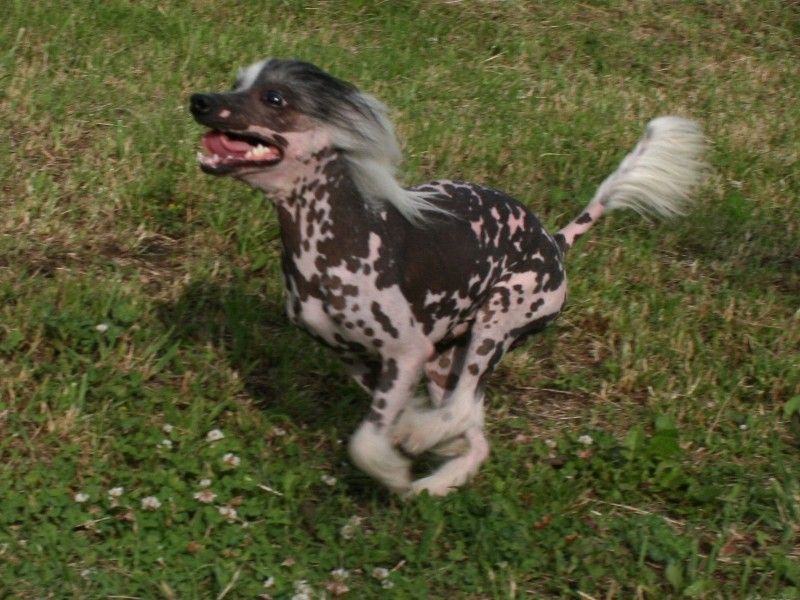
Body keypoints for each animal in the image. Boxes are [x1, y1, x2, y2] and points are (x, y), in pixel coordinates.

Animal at [190, 58, 705, 496]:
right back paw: (442, 478)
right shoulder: (360, 358)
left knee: (461, 407)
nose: (200, 100)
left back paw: (425, 454)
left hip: (498, 318)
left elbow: (367, 441)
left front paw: (394, 468)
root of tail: (555, 242)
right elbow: (393, 420)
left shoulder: (405, 352)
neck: (331, 237)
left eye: (274, 98)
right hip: (445, 360)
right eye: (237, 82)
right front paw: (414, 445)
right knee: (473, 431)